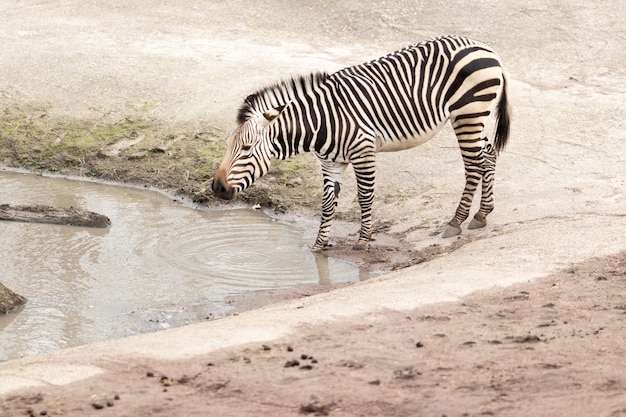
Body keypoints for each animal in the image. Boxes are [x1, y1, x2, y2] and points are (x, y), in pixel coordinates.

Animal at [212, 35, 510, 250]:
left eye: (247, 148)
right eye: (227, 147)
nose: (217, 187)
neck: (320, 121)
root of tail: (485, 47)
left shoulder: (363, 152)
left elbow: (365, 197)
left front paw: (363, 240)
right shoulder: (331, 162)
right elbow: (327, 203)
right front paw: (319, 246)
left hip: (467, 113)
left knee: (474, 165)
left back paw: (456, 221)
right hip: (475, 116)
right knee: (489, 155)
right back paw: (482, 215)